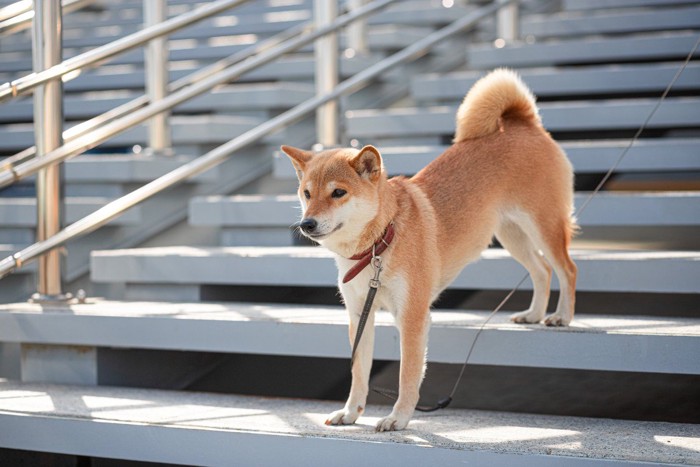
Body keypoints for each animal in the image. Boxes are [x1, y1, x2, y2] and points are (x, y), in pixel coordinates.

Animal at [282, 68, 576, 432]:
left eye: (338, 193)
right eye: (307, 193)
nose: (307, 223)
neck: (380, 242)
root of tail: (523, 124)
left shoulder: (411, 316)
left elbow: (408, 374)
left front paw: (398, 417)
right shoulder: (359, 314)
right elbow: (359, 372)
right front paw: (351, 413)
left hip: (543, 225)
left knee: (566, 268)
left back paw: (562, 316)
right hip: (511, 235)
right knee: (542, 270)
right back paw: (534, 314)